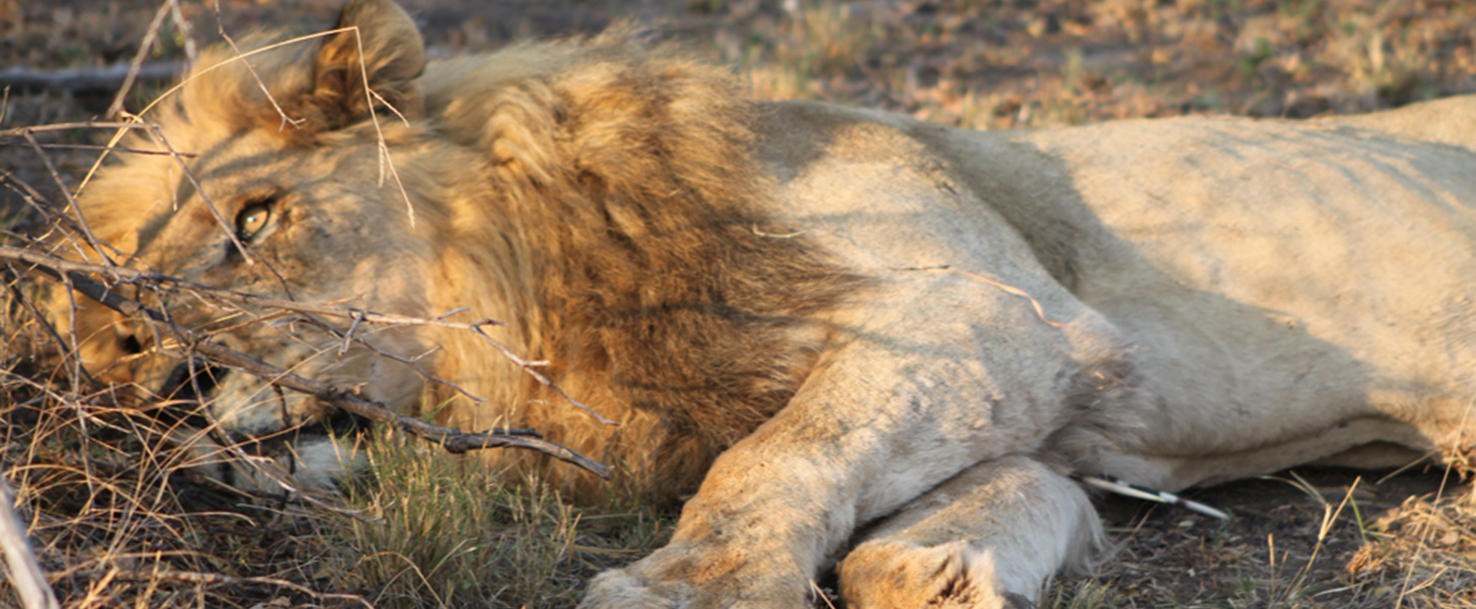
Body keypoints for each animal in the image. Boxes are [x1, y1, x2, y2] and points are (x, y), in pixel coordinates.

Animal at [52, 0, 1476, 607]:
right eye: (111, 313)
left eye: (255, 220)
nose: (136, 376)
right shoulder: (1045, 398)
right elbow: (971, 496)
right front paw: (940, 570)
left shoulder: (985, 310)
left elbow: (776, 454)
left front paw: (694, 587)